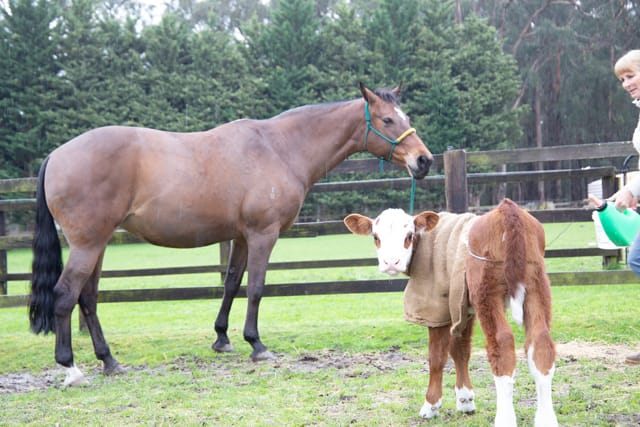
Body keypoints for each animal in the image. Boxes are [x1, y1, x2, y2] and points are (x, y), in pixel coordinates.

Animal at [29, 83, 433, 386]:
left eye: (406, 118)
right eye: (387, 119)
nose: (423, 160)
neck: (279, 148)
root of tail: (56, 155)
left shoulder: (240, 236)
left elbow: (231, 282)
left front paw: (222, 338)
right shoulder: (262, 234)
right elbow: (255, 287)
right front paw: (256, 344)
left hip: (98, 244)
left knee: (88, 299)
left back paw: (109, 360)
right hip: (88, 244)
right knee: (65, 295)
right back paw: (71, 367)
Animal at [343, 198, 558, 427]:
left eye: (408, 236)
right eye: (376, 237)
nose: (391, 263)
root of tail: (507, 210)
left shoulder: (437, 306)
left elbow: (437, 356)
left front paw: (431, 405)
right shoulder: (462, 306)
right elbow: (460, 349)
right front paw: (465, 399)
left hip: (487, 293)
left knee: (502, 345)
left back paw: (505, 419)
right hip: (536, 285)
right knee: (541, 343)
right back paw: (546, 419)